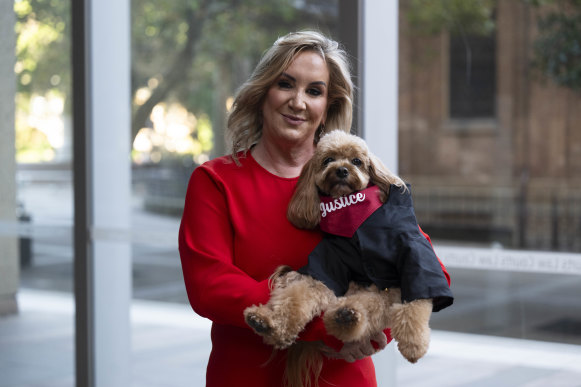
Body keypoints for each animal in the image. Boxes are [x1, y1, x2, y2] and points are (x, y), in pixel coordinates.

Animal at [242, 131, 450, 387]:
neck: (353, 217)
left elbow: (417, 301)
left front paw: (414, 345)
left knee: (372, 308)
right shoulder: (328, 265)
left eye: (357, 161)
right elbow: (301, 293)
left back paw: (346, 316)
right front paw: (273, 320)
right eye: (328, 160)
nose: (341, 170)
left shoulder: (413, 251)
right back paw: (270, 321)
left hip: (384, 292)